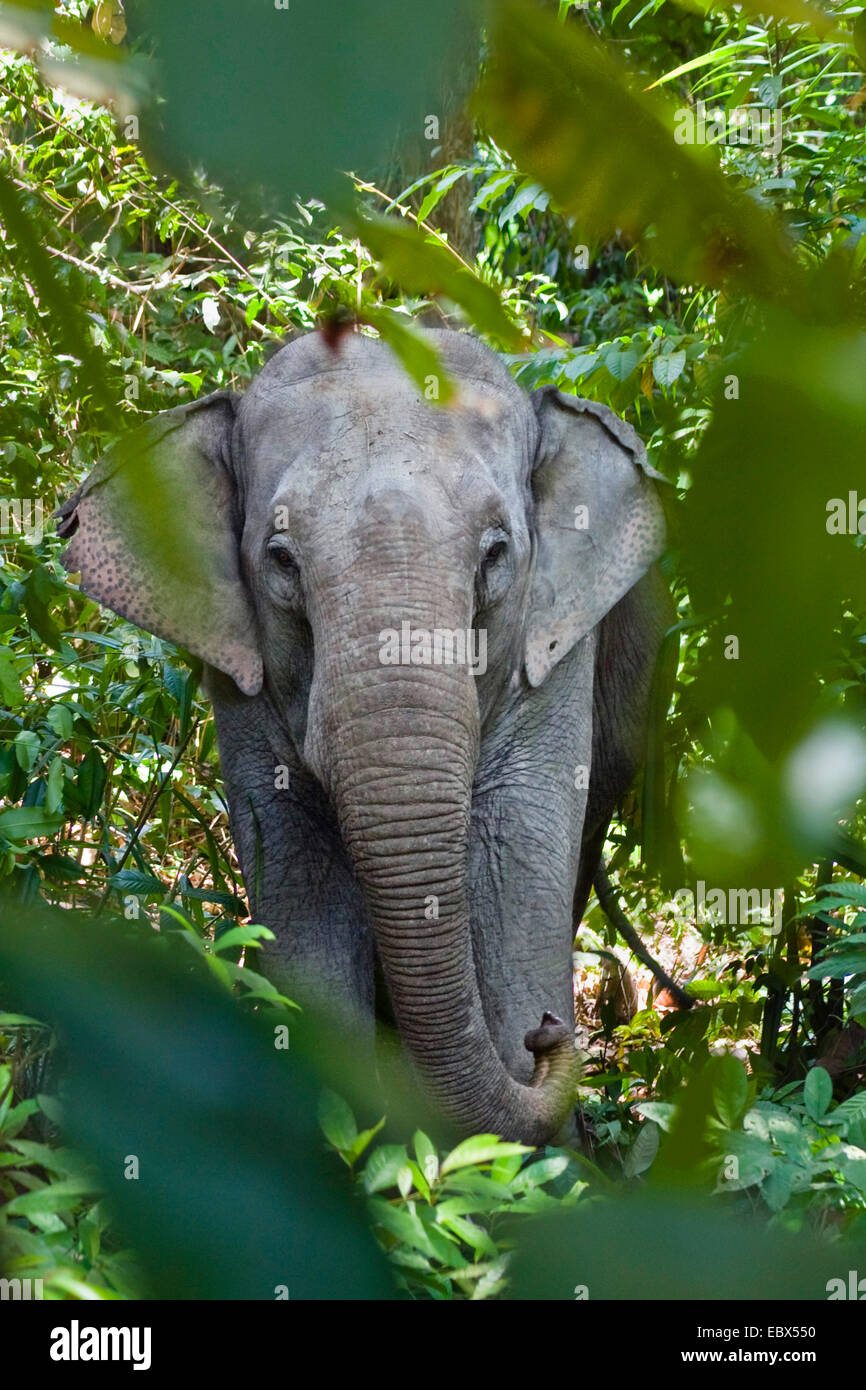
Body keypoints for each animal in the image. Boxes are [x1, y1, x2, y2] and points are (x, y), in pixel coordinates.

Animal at [57, 330, 675, 1145]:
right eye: (281, 560)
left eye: (496, 553)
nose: (547, 1033)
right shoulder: (237, 658)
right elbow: (296, 858)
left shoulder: (557, 640)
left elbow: (516, 845)